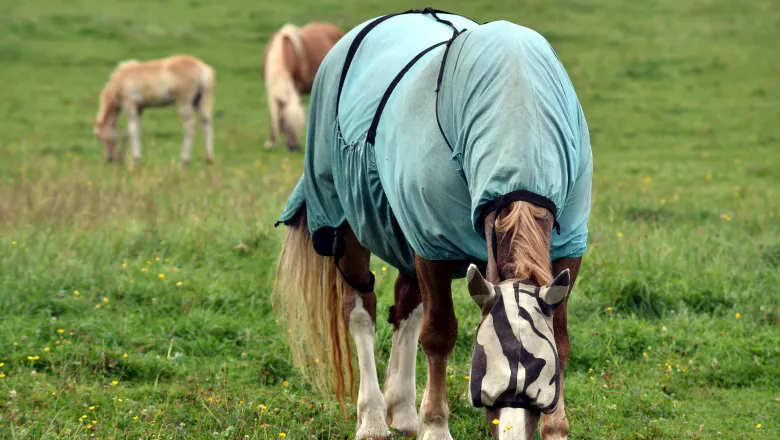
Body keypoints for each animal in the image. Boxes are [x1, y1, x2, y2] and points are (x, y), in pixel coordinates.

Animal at [273, 9, 592, 440]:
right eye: (483, 389)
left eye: (543, 390)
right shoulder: (431, 244)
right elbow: (439, 335)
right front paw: (436, 425)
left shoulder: (568, 248)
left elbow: (560, 337)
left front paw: (556, 428)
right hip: (349, 220)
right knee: (361, 310)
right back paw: (373, 417)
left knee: (407, 305)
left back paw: (403, 410)